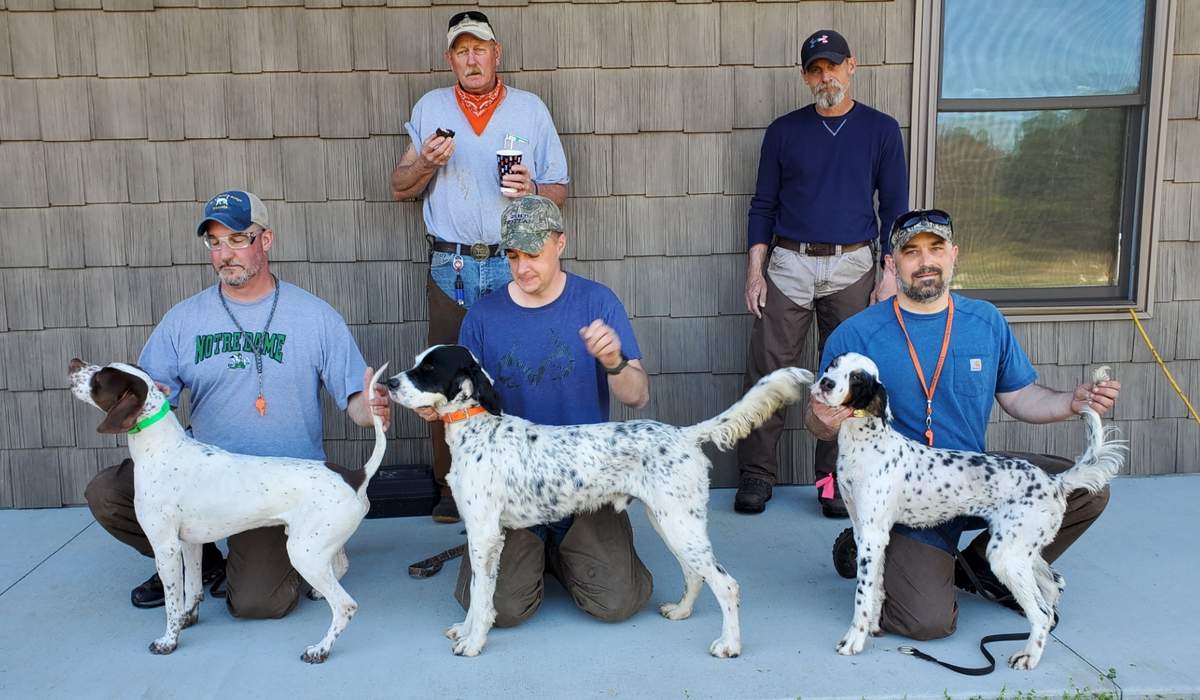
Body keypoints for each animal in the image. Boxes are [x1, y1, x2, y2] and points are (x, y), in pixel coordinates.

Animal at [68, 357, 386, 667]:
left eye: (100, 378)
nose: (73, 363)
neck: (162, 449)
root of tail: (355, 475)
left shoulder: (165, 547)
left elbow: (172, 603)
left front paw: (169, 641)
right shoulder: (189, 543)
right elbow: (192, 589)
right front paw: (188, 618)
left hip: (303, 553)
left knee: (345, 605)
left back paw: (320, 649)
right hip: (317, 544)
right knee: (341, 566)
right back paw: (319, 594)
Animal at [388, 345, 811, 657]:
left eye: (428, 369)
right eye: (416, 363)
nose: (389, 382)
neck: (477, 430)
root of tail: (684, 434)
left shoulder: (485, 534)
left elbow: (482, 595)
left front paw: (473, 642)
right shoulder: (481, 536)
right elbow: (477, 595)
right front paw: (464, 630)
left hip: (680, 524)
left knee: (726, 584)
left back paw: (729, 644)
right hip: (669, 521)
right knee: (695, 574)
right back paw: (681, 611)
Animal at [811, 353, 1118, 672]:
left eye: (857, 378)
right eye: (834, 364)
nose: (826, 382)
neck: (865, 446)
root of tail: (1054, 481)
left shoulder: (872, 536)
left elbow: (862, 594)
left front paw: (853, 640)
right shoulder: (868, 534)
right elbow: (876, 589)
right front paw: (871, 627)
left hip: (1006, 556)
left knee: (1042, 612)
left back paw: (1028, 656)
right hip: (1022, 551)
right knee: (1054, 585)